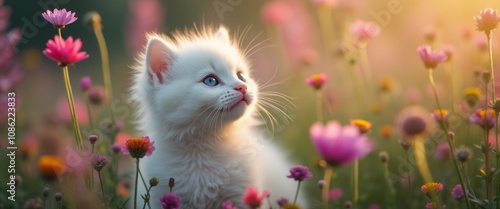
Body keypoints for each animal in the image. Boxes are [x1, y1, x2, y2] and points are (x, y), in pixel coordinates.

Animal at [130, 26, 304, 209]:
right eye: (211, 81)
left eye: (240, 76)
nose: (242, 87)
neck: (203, 149)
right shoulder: (162, 196)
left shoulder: (243, 196)